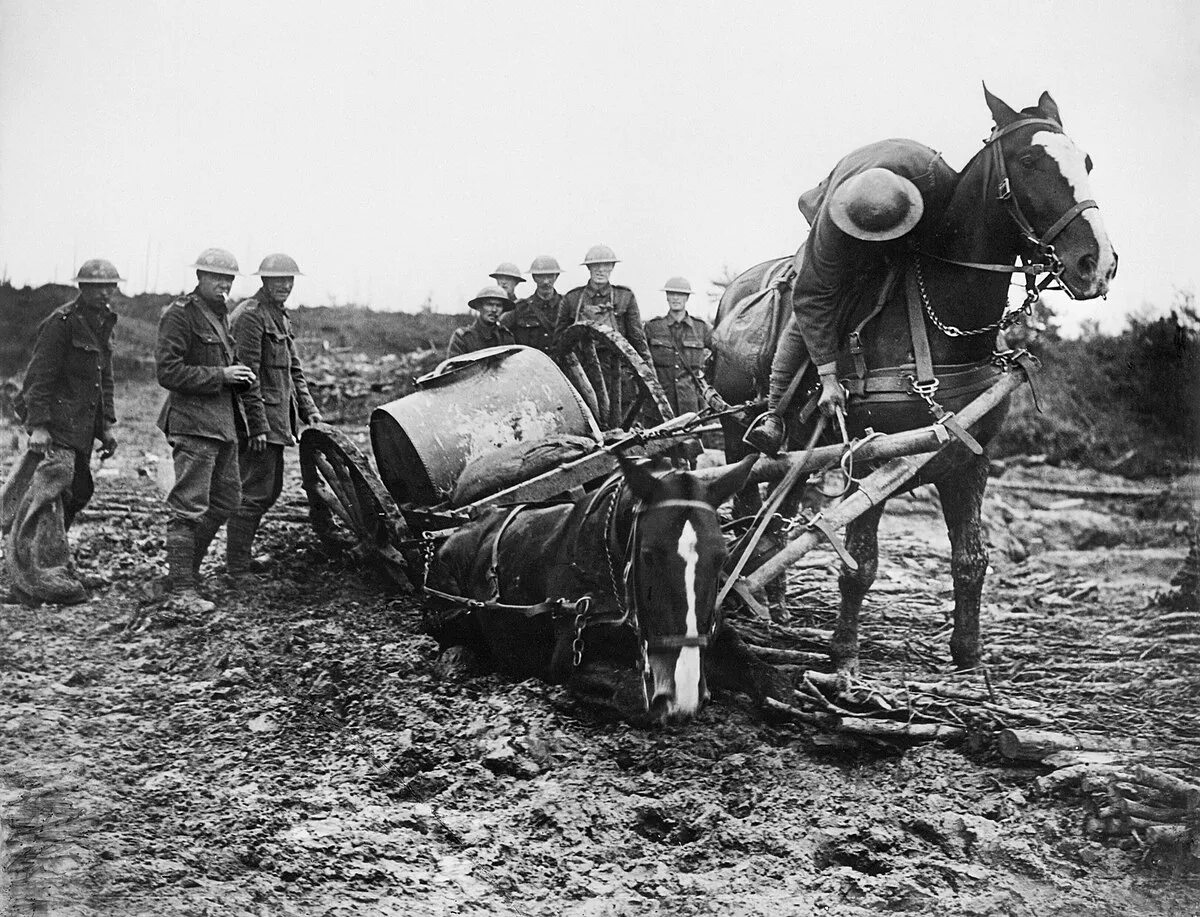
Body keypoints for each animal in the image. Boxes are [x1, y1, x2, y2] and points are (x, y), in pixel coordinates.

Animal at [417, 451, 792, 724]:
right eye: (648, 555)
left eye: (722, 556)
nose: (683, 691)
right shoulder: (569, 658)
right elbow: (635, 695)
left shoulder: (713, 632)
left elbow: (766, 674)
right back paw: (458, 659)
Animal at [710, 85, 1113, 672]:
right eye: (1029, 161)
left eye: (1086, 162)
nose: (1096, 264)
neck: (939, 323)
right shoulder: (868, 459)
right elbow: (860, 563)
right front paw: (843, 655)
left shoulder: (970, 460)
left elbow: (971, 558)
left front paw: (968, 657)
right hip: (734, 434)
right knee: (749, 509)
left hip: (801, 455)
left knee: (777, 513)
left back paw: (775, 604)